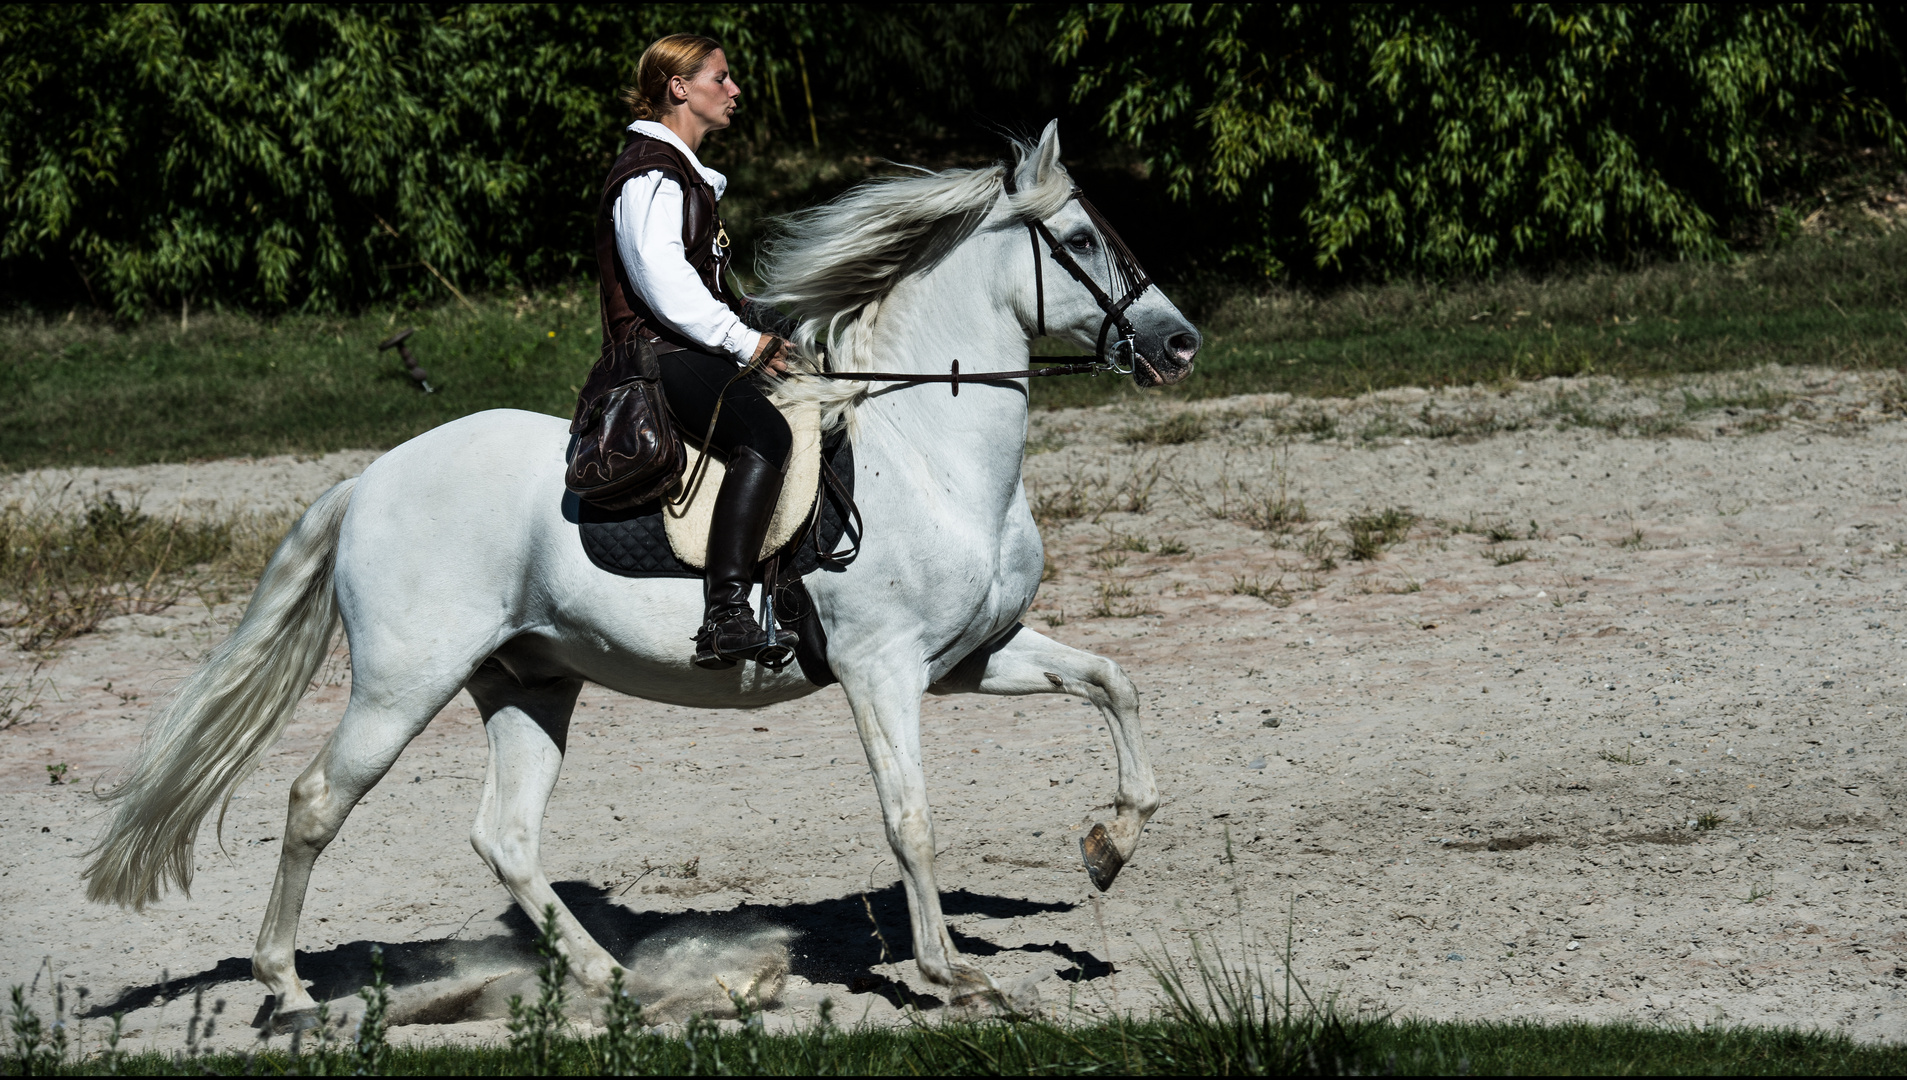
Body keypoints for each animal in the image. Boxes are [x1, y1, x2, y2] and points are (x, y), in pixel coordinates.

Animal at [89, 123, 1197, 1030]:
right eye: (1080, 239)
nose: (1180, 342)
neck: (929, 453)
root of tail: (370, 478)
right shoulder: (882, 671)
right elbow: (910, 818)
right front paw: (951, 974)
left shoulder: (969, 657)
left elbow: (1114, 683)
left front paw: (1108, 845)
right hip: (404, 682)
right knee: (319, 800)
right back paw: (286, 991)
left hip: (529, 682)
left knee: (507, 838)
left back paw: (609, 983)